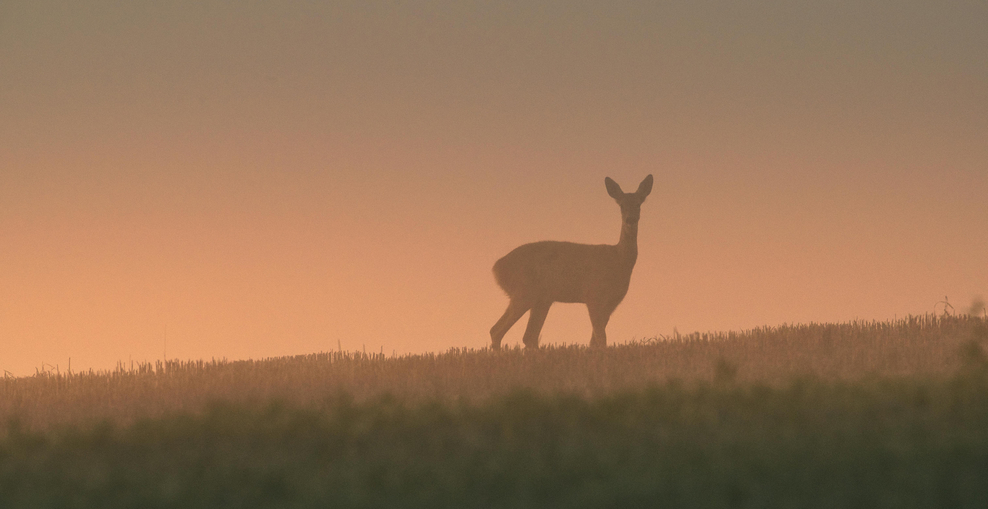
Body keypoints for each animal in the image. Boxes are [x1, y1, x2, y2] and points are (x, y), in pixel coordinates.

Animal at [490, 174, 653, 349]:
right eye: (621, 205)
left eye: (639, 203)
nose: (630, 220)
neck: (618, 260)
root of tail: (497, 268)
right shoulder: (593, 295)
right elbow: (601, 338)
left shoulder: (611, 303)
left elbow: (594, 341)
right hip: (523, 292)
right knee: (497, 330)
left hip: (542, 299)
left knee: (529, 336)